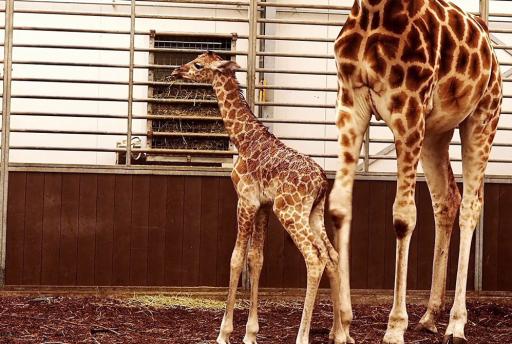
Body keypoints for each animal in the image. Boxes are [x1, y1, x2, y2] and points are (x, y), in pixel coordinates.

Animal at [172, 51, 352, 344]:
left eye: (198, 64)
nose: (177, 71)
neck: (243, 139)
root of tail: (321, 183)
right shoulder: (263, 205)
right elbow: (256, 259)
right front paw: (250, 333)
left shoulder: (245, 200)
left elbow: (236, 258)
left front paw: (224, 333)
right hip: (314, 214)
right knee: (331, 255)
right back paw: (339, 333)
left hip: (289, 212)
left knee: (315, 257)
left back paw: (302, 336)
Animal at [330, 0, 502, 344]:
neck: (373, 10)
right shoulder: (350, 101)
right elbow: (340, 208)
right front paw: (342, 327)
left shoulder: (407, 109)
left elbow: (403, 217)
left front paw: (395, 327)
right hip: (435, 133)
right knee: (447, 199)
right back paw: (430, 316)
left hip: (482, 118)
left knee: (471, 206)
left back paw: (456, 324)